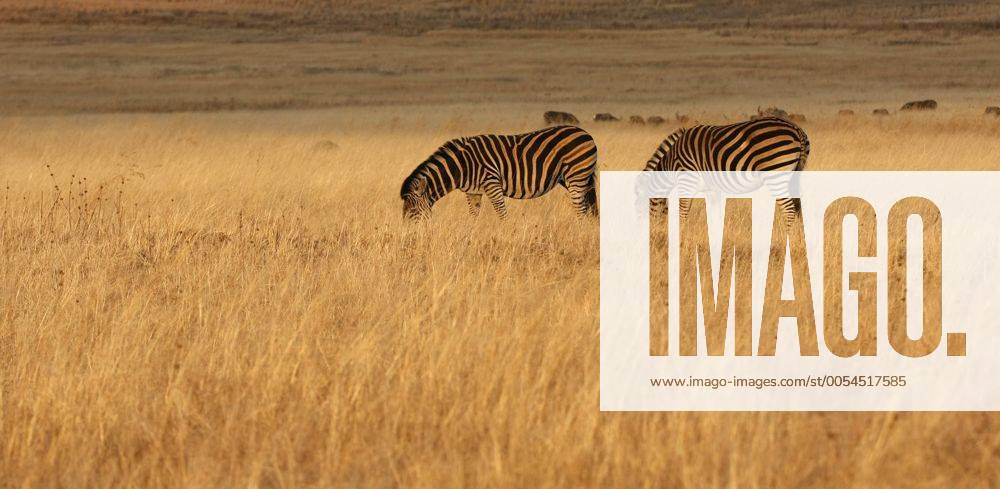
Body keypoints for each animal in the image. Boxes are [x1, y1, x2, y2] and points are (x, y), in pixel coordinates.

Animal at [401, 125, 598, 220]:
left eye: (411, 209)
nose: (409, 234)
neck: (462, 167)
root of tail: (585, 133)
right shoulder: (473, 192)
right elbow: (473, 217)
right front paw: (471, 237)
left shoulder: (491, 182)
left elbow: (502, 214)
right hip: (572, 179)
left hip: (577, 175)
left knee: (581, 209)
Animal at [642, 117, 809, 224]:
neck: (671, 161)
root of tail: (797, 129)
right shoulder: (712, 188)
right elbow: (715, 214)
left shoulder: (687, 178)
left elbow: (683, 210)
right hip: (793, 174)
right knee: (798, 208)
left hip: (775, 173)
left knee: (789, 209)